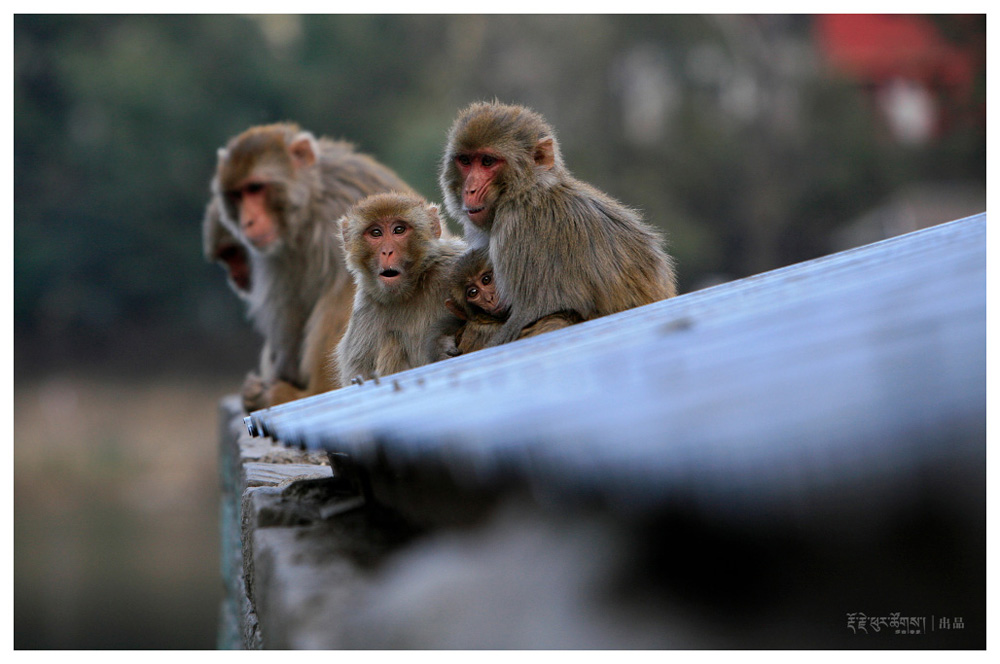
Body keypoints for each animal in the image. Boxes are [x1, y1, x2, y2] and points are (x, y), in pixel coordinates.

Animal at [334, 191, 462, 384]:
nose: (387, 251)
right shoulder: (365, 309)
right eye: (376, 233)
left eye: (399, 230)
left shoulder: (451, 266)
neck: (412, 288)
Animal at [440, 102, 680, 348]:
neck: (526, 190)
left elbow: (531, 313)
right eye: (466, 161)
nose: (470, 190)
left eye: (487, 161)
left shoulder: (519, 227)